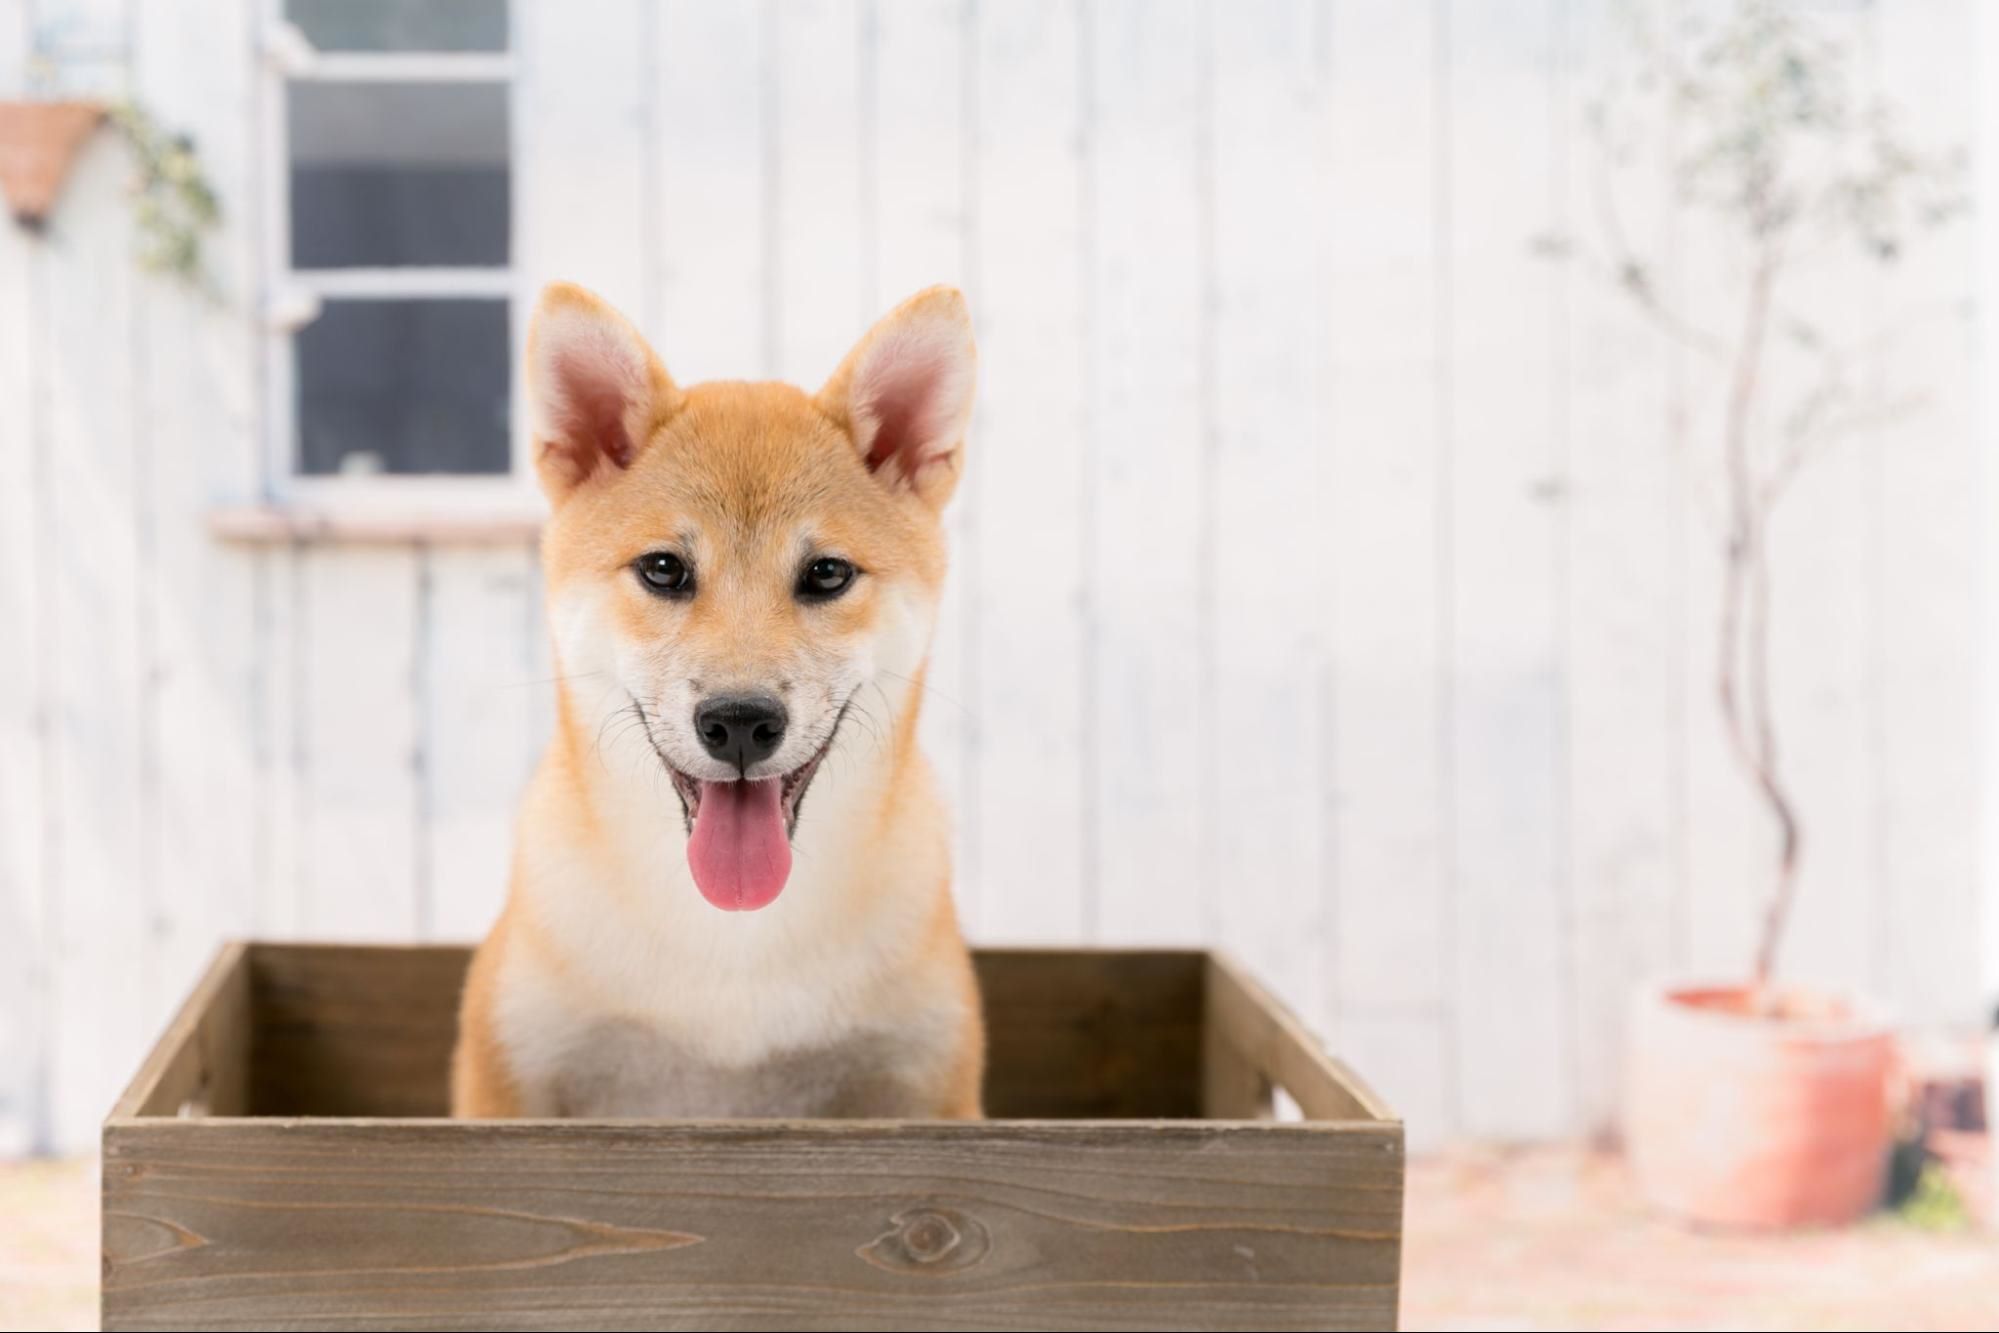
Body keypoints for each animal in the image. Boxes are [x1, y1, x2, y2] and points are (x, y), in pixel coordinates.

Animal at [451, 283, 983, 1127]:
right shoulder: (507, 1083)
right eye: (664, 568)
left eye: (827, 573)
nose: (739, 722)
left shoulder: (927, 1086)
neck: (733, 951)